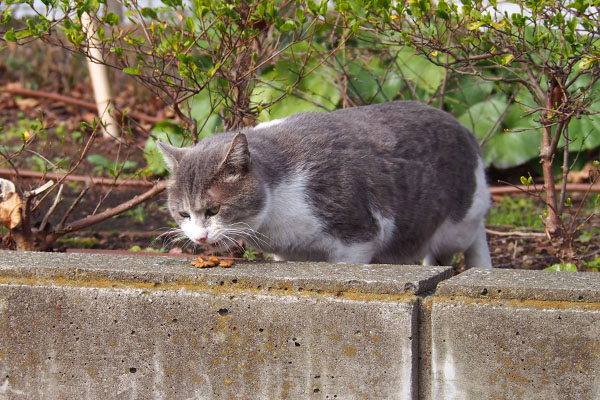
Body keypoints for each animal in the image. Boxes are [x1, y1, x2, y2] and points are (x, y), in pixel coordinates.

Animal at [158, 101, 492, 268]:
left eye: (213, 210)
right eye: (183, 214)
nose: (199, 237)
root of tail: (463, 127)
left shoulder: (358, 239)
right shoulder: (287, 254)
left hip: (455, 226)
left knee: (470, 235)